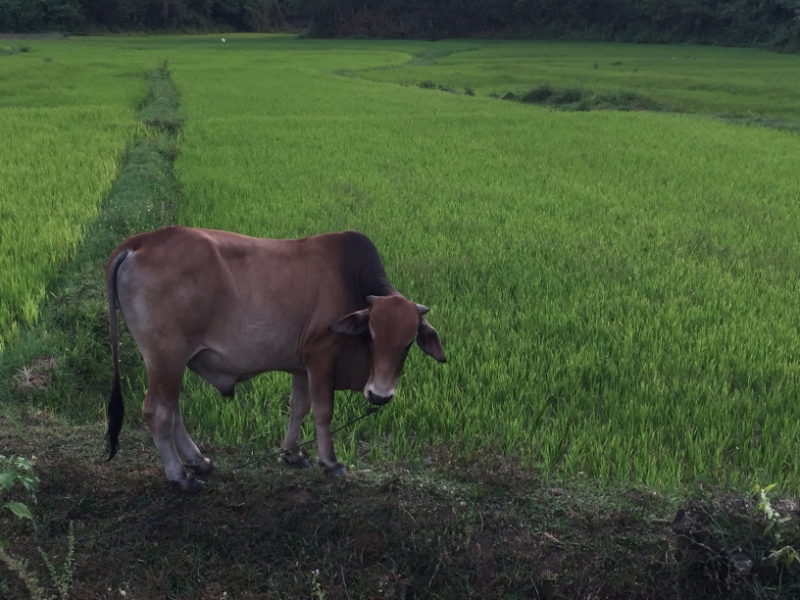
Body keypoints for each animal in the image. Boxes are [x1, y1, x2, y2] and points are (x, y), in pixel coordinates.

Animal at [105, 227, 446, 492]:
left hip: (169, 363)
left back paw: (199, 462)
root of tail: (139, 242)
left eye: (407, 344)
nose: (380, 395)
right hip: (167, 357)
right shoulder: (322, 357)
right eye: (372, 335)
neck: (351, 282)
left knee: (173, 412)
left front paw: (292, 454)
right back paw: (181, 476)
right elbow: (323, 412)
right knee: (158, 413)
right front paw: (330, 461)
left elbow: (298, 407)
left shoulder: (301, 366)